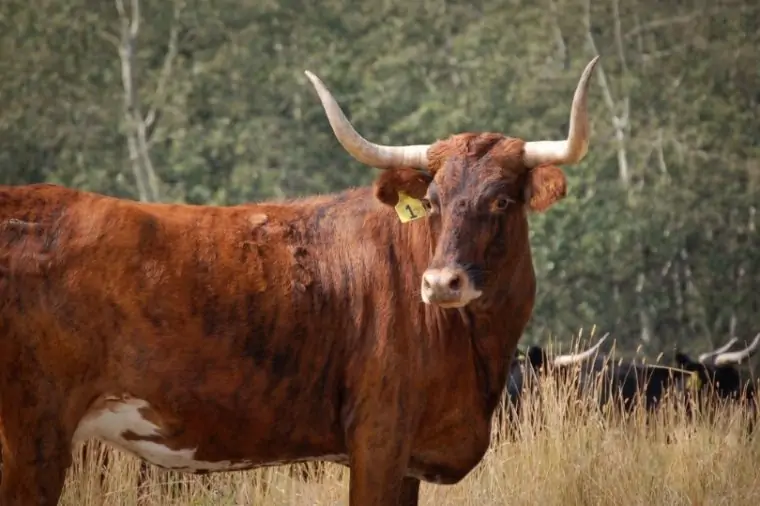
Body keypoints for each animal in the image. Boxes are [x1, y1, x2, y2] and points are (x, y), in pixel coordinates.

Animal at [0, 56, 601, 506]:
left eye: (501, 200)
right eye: (432, 200)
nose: (440, 284)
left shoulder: (405, 458)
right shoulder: (377, 442)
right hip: (31, 438)